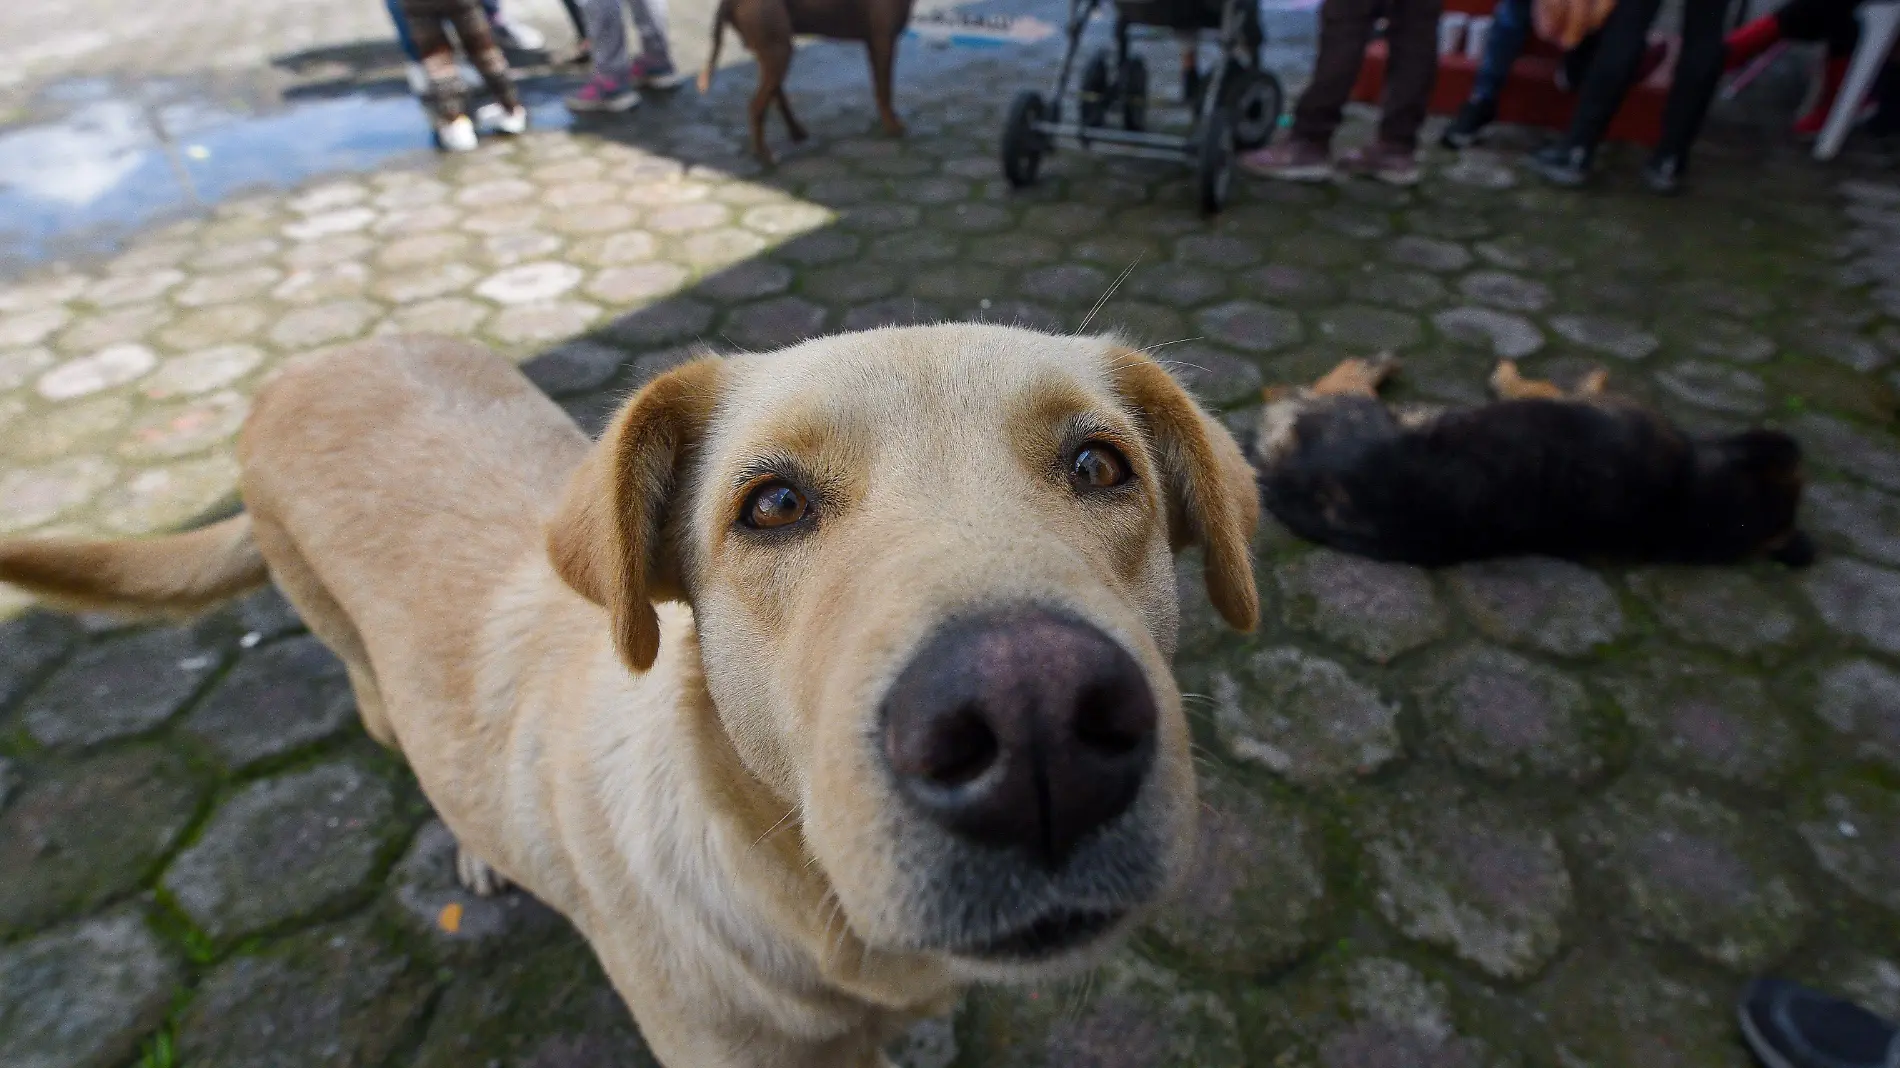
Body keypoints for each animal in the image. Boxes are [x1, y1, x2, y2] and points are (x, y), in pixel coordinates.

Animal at [0, 326, 1261, 1064]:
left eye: (1100, 466)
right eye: (771, 504)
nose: (1034, 723)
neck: (799, 903)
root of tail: (307, 363)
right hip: (357, 665)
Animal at [699, 0, 912, 161]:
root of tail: (727, 1)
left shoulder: (875, 44)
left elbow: (881, 89)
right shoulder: (883, 41)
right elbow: (885, 90)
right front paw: (892, 127)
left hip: (772, 52)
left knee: (774, 94)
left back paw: (796, 132)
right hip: (778, 49)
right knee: (757, 105)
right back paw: (764, 154)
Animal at [1246, 353, 1808, 566]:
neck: (1686, 496)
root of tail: (1286, 478)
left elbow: (1535, 385)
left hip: (1357, 408)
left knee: (1328, 381)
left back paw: (1370, 364)